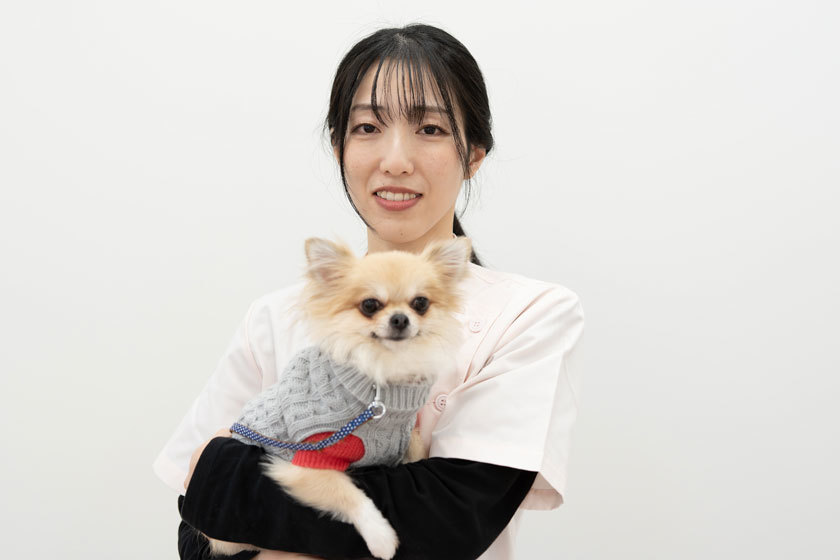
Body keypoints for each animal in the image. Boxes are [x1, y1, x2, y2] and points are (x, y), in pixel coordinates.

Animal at [205, 236, 471, 559]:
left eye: (420, 303)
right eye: (369, 305)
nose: (400, 318)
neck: (380, 378)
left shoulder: (407, 437)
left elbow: (417, 450)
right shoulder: (306, 461)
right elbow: (347, 493)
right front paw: (381, 537)